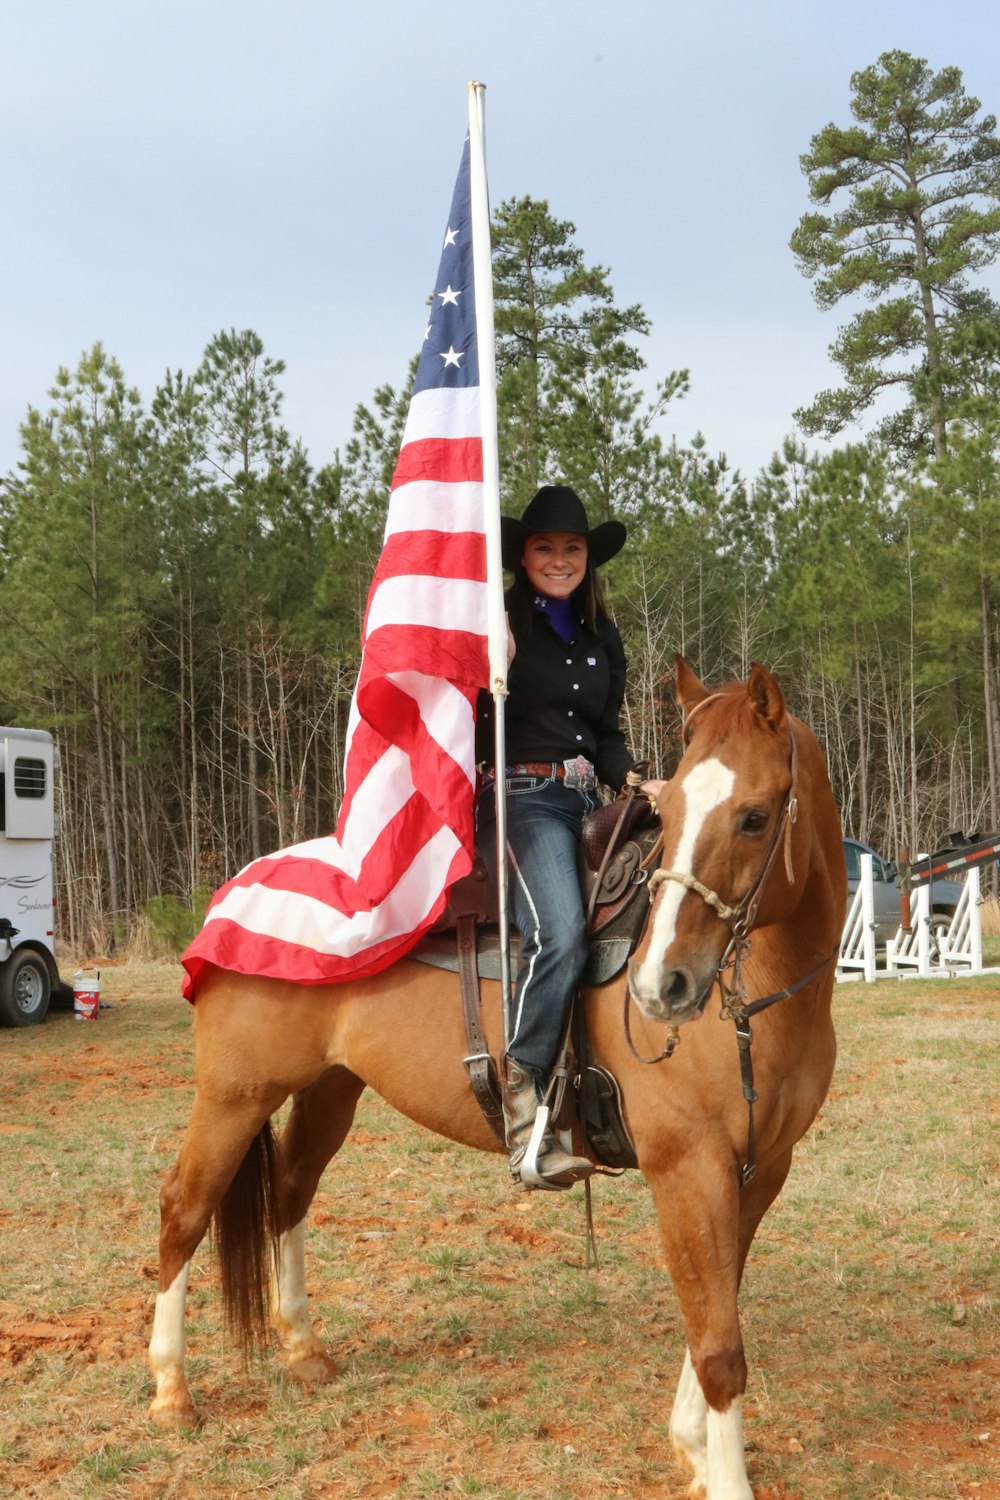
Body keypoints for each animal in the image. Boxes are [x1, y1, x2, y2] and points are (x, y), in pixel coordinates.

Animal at [146, 660, 845, 1500]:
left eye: (754, 816)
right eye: (673, 808)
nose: (660, 986)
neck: (765, 999)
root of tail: (237, 890)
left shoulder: (759, 1170)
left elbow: (718, 1304)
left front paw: (692, 1448)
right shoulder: (688, 1169)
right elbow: (718, 1344)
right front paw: (720, 1472)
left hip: (330, 1090)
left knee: (288, 1192)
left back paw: (303, 1349)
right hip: (234, 1096)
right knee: (184, 1210)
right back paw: (171, 1391)